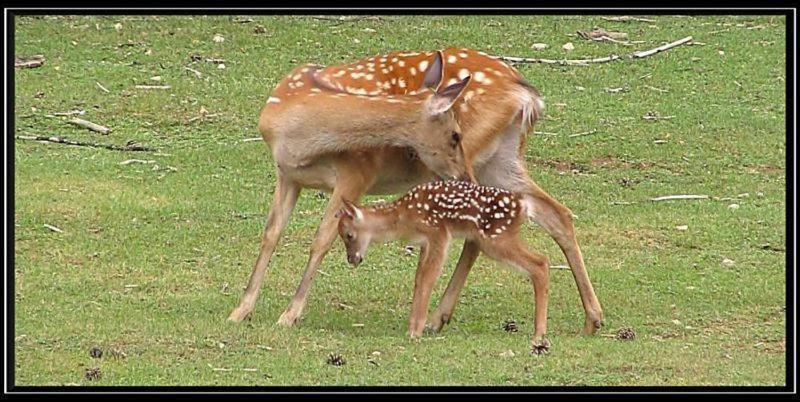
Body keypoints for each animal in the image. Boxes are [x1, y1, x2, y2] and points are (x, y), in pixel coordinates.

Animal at [228, 48, 604, 336]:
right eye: (454, 135)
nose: (464, 173)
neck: (299, 134)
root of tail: (527, 95)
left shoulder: (356, 174)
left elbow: (321, 240)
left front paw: (289, 314)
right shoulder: (287, 175)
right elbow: (270, 234)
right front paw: (241, 310)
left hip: (480, 161)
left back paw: (437, 317)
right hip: (502, 160)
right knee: (555, 212)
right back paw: (593, 318)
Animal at [334, 181, 552, 354]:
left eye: (349, 235)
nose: (352, 259)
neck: (402, 218)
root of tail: (522, 205)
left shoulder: (438, 232)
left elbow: (428, 277)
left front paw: (415, 331)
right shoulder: (425, 243)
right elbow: (419, 278)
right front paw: (414, 327)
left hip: (495, 238)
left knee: (540, 262)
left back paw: (538, 335)